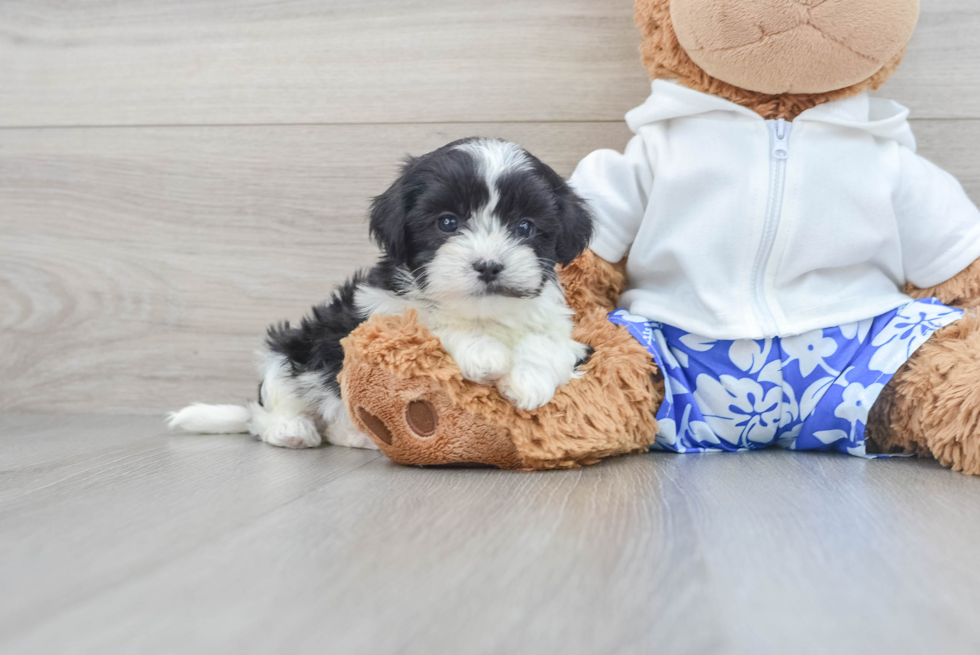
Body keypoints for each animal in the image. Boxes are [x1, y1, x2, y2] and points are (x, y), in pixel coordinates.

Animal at [168, 140, 592, 452]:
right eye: (448, 222)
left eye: (525, 227)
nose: (488, 265)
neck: (480, 313)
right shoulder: (379, 312)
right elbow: (428, 322)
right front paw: (483, 353)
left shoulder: (560, 327)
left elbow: (549, 344)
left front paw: (529, 379)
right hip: (292, 347)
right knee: (270, 406)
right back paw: (292, 429)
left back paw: (357, 435)